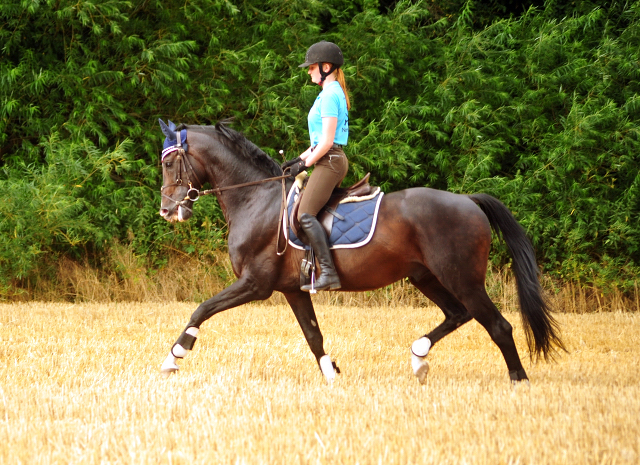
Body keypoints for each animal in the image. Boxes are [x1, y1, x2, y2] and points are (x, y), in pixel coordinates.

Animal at [158, 119, 564, 384]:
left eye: (168, 162)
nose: (167, 210)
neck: (256, 198)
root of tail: (468, 201)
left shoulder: (255, 284)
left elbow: (201, 309)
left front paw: (173, 358)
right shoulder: (292, 289)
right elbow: (313, 336)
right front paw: (331, 374)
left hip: (461, 277)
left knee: (497, 325)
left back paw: (518, 379)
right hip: (425, 275)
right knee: (457, 313)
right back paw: (419, 357)